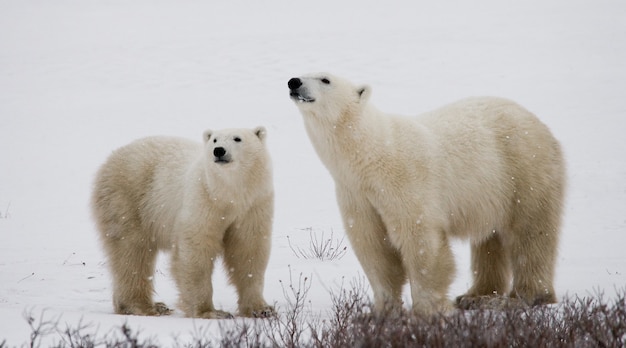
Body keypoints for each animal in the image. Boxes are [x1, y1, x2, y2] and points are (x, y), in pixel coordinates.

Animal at [91, 127, 272, 318]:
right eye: (214, 140)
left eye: (237, 138)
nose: (219, 151)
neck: (228, 195)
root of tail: (111, 157)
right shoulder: (203, 199)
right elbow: (196, 250)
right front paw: (210, 312)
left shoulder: (254, 205)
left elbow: (248, 250)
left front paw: (261, 309)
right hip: (128, 199)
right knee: (132, 251)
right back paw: (142, 306)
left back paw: (154, 306)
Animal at [288, 72, 564, 316]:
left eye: (325, 79)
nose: (294, 82)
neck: (371, 155)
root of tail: (540, 124)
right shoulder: (356, 195)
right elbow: (373, 246)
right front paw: (383, 311)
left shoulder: (405, 181)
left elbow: (420, 241)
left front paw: (429, 310)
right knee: (489, 240)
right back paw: (476, 296)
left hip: (524, 170)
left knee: (531, 233)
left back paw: (523, 297)